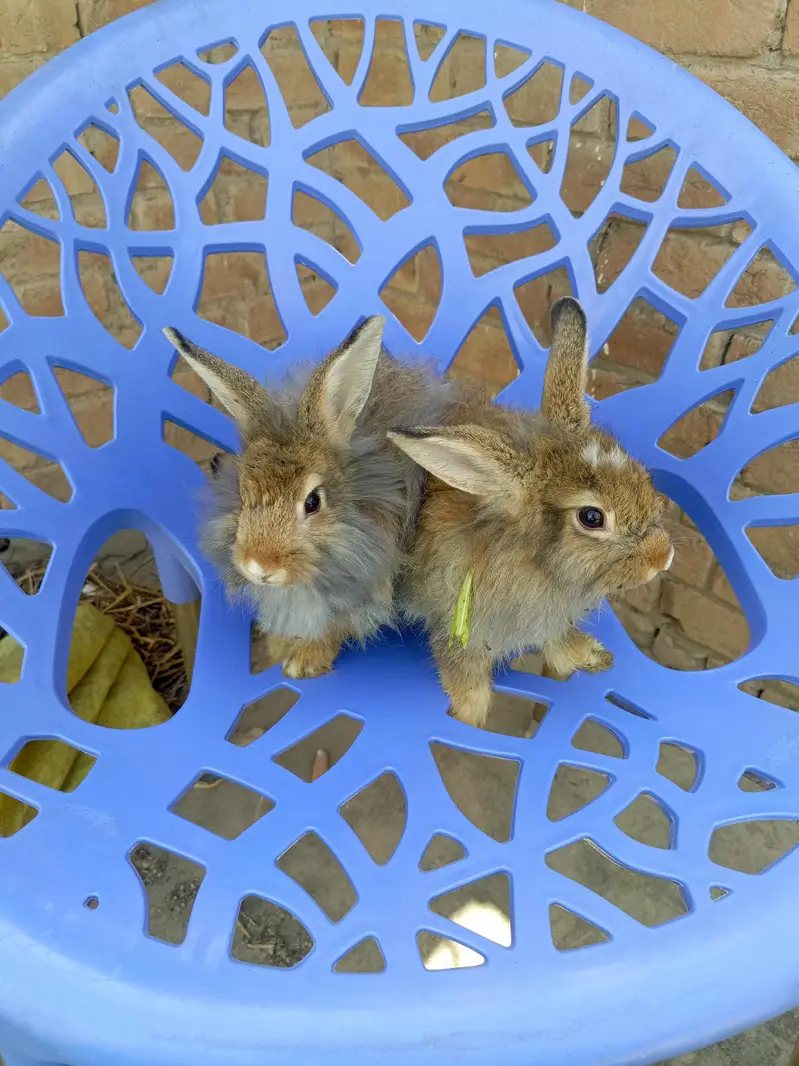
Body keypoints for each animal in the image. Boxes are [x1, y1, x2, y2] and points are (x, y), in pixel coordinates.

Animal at [164, 315, 458, 679]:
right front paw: (279, 646)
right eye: (243, 495)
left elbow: (331, 629)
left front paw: (303, 663)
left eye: (313, 502)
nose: (260, 567)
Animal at [388, 297, 674, 728]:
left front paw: (589, 657)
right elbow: (463, 673)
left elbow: (558, 640)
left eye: (642, 474)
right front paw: (470, 716)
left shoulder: (551, 620)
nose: (663, 557)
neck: (540, 564)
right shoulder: (461, 630)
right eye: (592, 518)